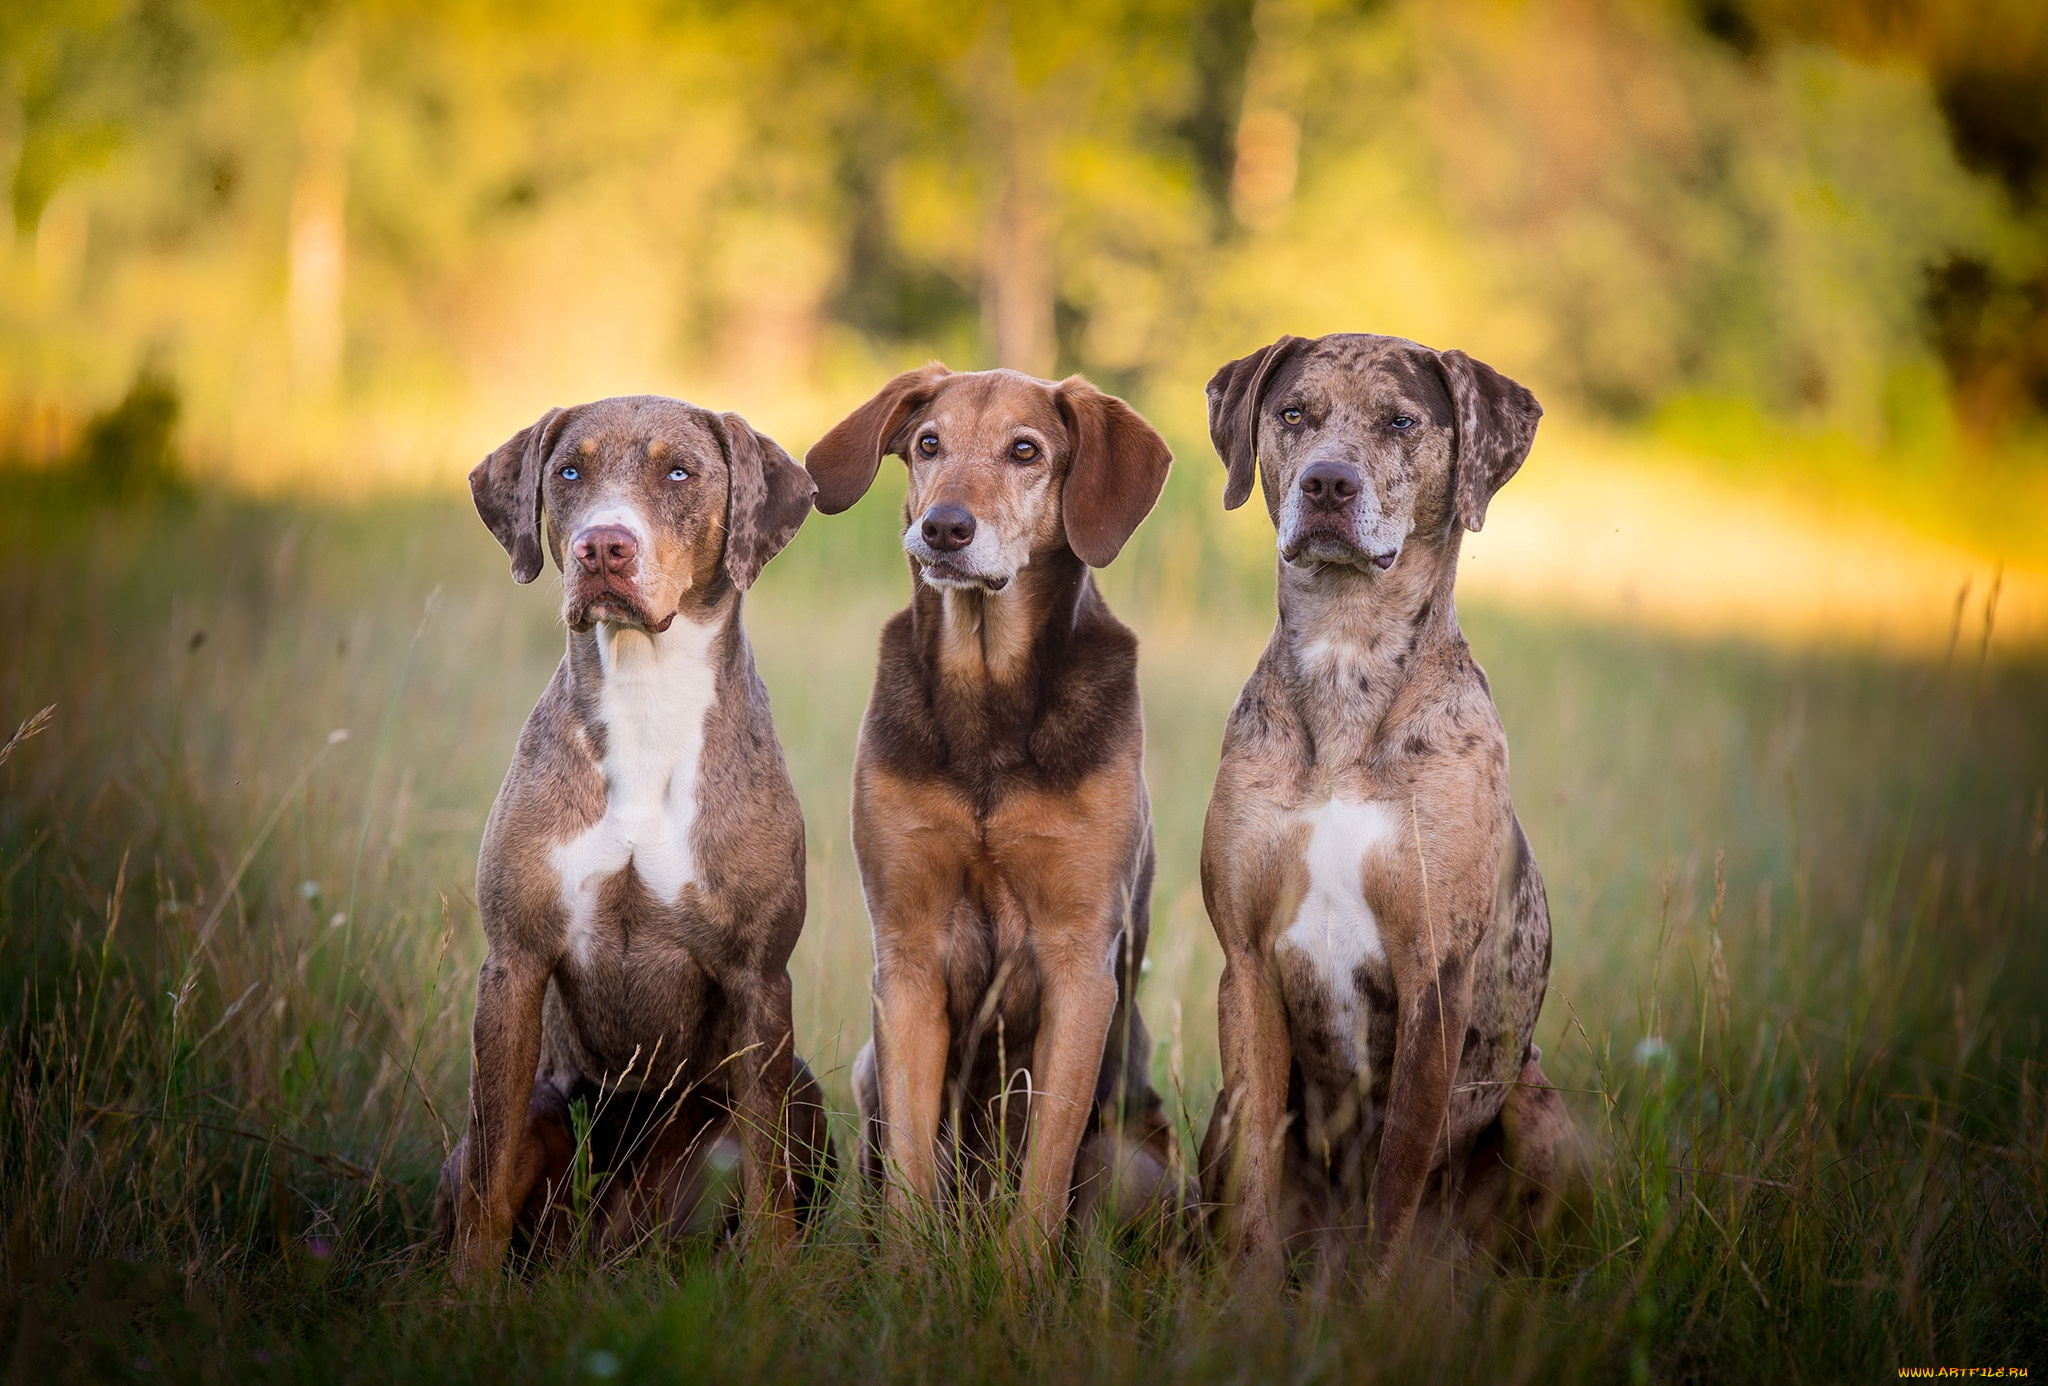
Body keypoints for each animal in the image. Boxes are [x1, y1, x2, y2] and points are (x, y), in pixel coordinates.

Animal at [444, 388, 835, 1277]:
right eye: (568, 471)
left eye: (680, 472)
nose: (602, 546)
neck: (646, 695)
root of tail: (613, 1240)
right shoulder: (513, 967)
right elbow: (489, 1161)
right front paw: (466, 1288)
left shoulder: (761, 979)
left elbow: (768, 1177)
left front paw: (776, 1281)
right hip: (549, 1108)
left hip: (799, 1093)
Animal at [802, 364, 1179, 1244]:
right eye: (928, 443)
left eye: (1025, 451)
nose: (942, 527)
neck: (987, 700)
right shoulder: (907, 957)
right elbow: (911, 1171)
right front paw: (905, 1268)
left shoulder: (1080, 961)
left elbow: (1044, 1174)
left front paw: (1022, 1275)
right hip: (868, 1072)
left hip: (1135, 1155)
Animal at [1196, 335, 1589, 1277]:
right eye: (1293, 412)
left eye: (1402, 422)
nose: (1328, 484)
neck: (1348, 657)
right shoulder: (1246, 965)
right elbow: (1257, 1177)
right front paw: (1248, 1298)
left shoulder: (1433, 981)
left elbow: (1401, 1171)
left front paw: (1374, 1304)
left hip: (1541, 1109)